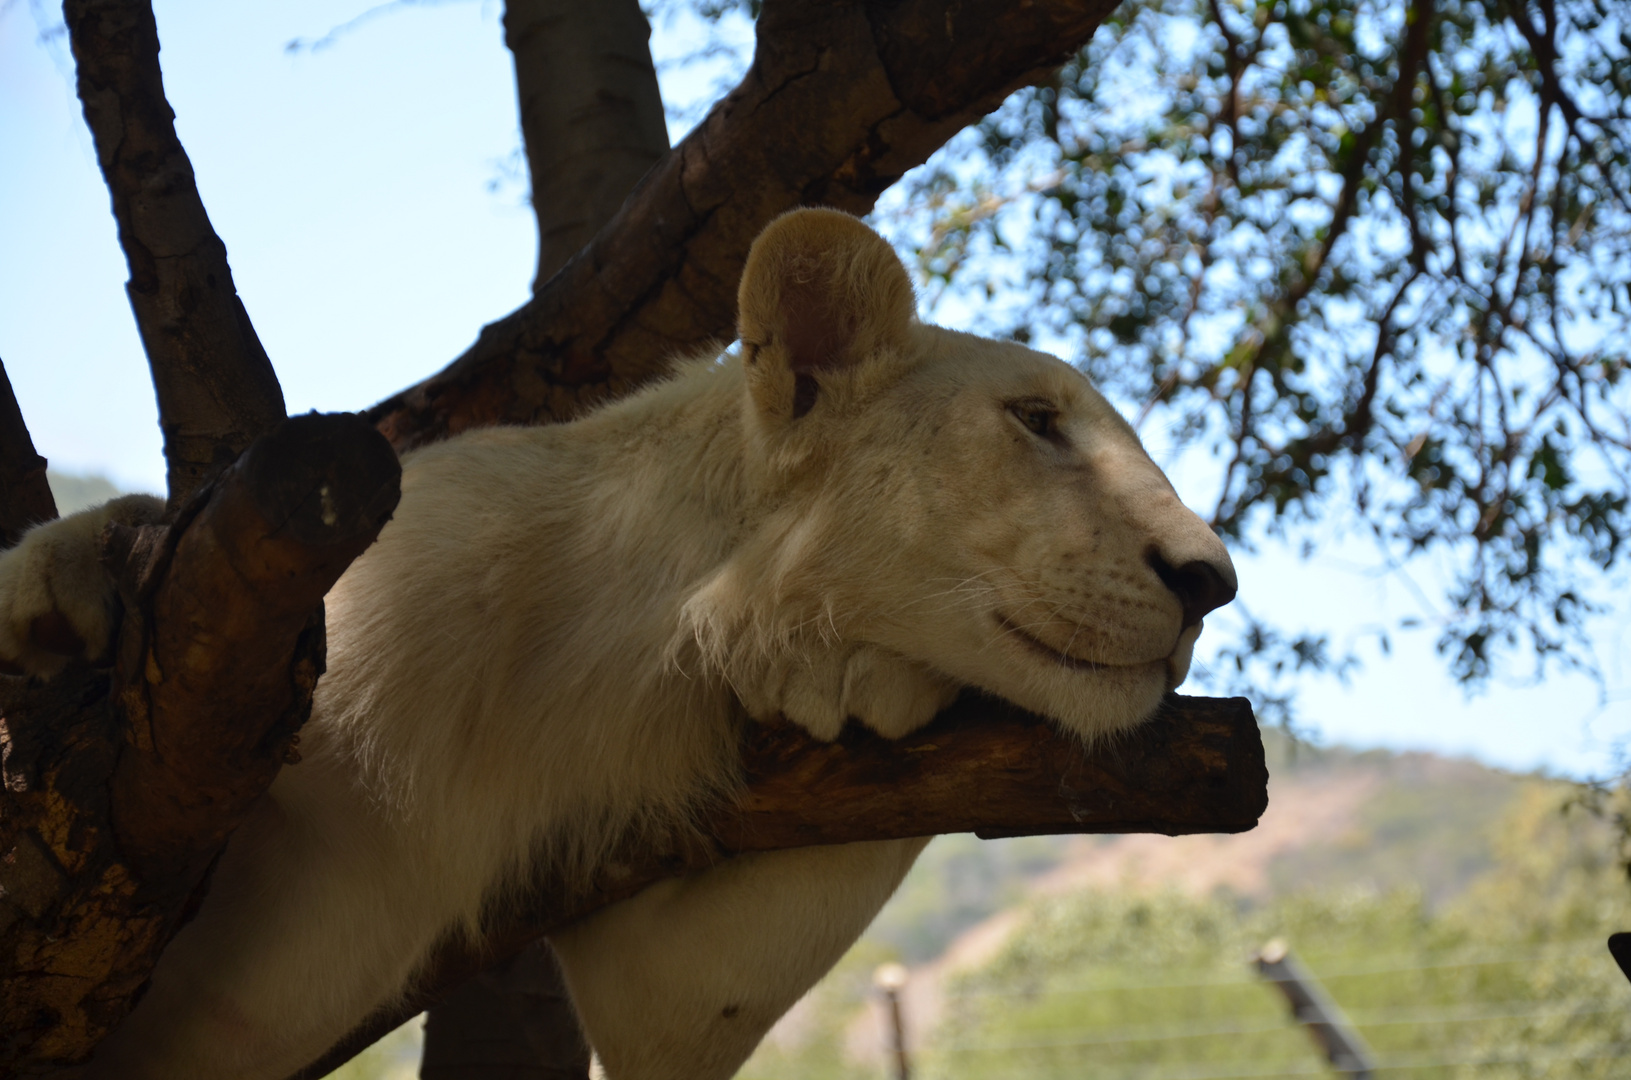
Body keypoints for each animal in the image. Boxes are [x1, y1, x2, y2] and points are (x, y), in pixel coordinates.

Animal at [0, 207, 1226, 1076]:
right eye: (1035, 421)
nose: (1213, 582)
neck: (615, 664)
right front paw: (80, 581)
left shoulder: (664, 976)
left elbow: (686, 1002)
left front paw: (857, 681)